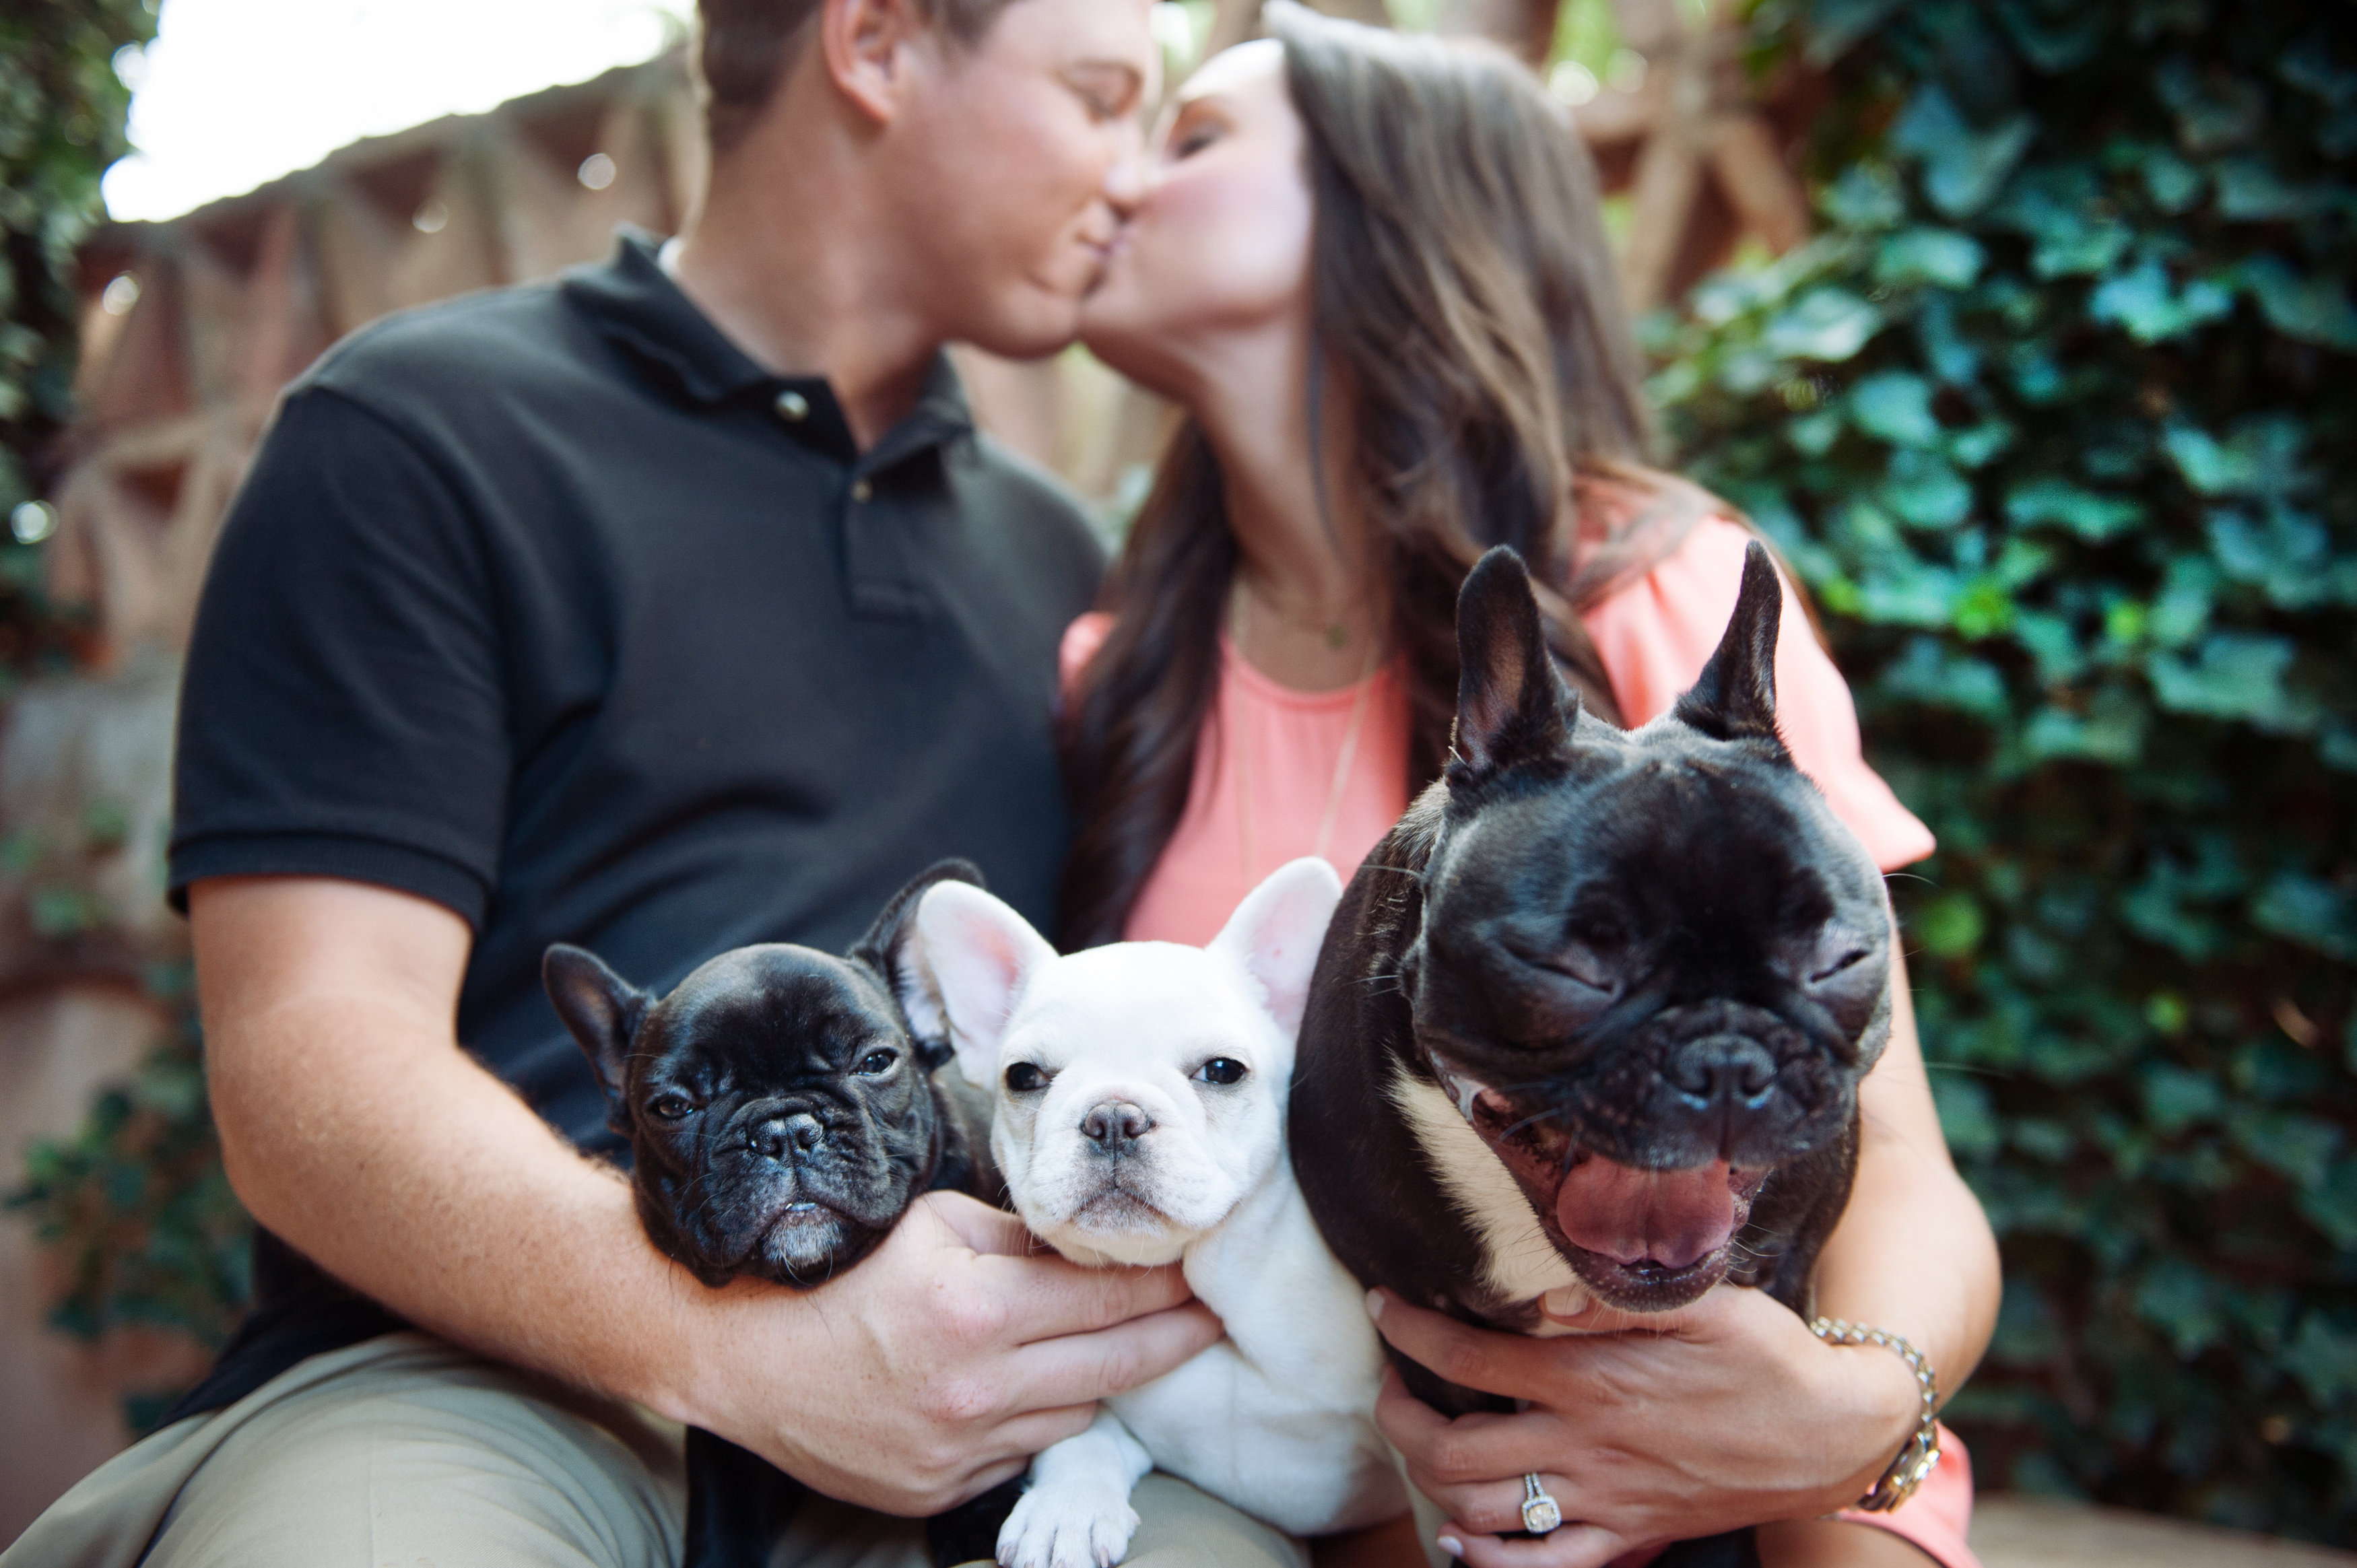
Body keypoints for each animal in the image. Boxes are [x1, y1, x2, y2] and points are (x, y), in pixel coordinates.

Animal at [547, 862, 999, 1565]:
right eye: (672, 1106)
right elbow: (722, 1502)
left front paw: (974, 1522)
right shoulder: (724, 1432)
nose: (785, 1129)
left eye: (876, 1061)